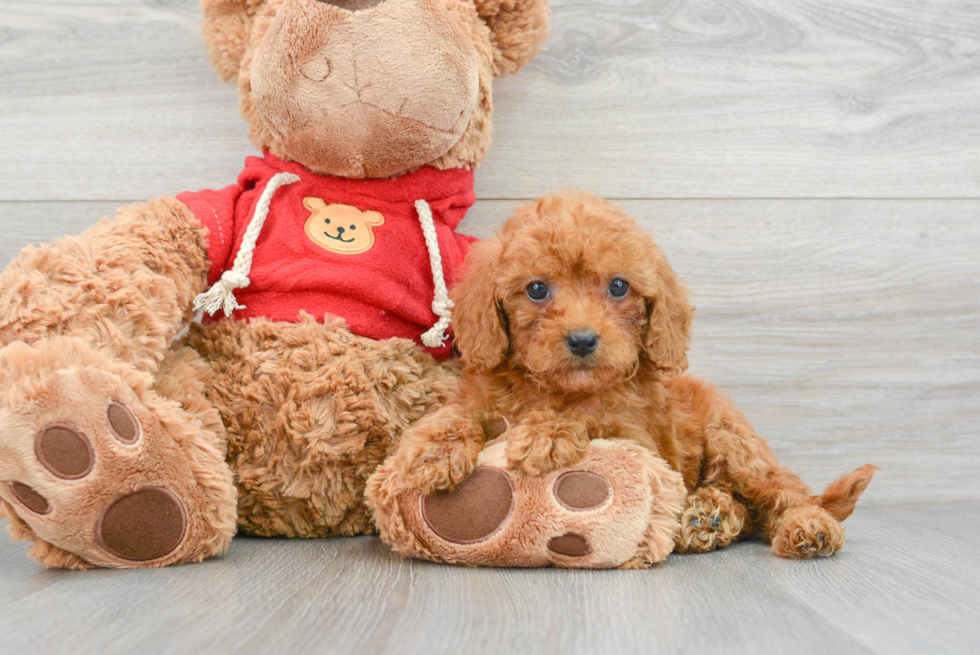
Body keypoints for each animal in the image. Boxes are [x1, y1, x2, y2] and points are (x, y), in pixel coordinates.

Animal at [388, 191, 872, 560]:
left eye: (619, 286)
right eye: (537, 289)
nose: (583, 340)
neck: (559, 388)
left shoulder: (639, 440)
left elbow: (590, 420)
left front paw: (548, 432)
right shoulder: (481, 395)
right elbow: (460, 413)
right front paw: (430, 451)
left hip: (733, 440)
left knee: (781, 489)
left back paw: (805, 525)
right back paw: (708, 516)